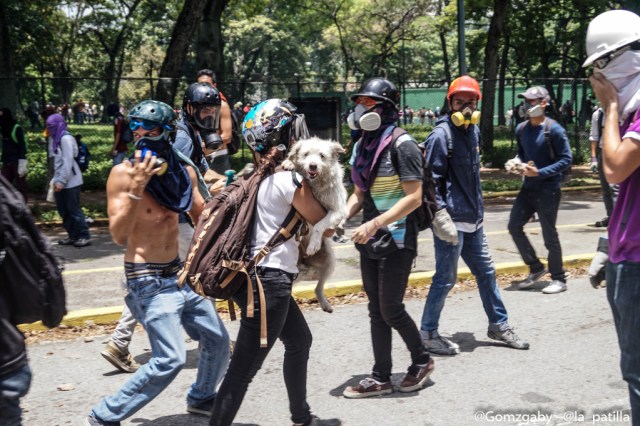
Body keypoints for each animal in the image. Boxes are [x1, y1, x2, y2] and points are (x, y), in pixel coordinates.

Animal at [282, 137, 348, 312]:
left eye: (322, 156)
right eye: (306, 154)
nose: (313, 165)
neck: (315, 183)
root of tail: (305, 264)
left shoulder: (338, 210)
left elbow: (319, 225)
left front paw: (313, 245)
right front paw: (289, 163)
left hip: (329, 262)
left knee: (318, 288)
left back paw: (325, 304)